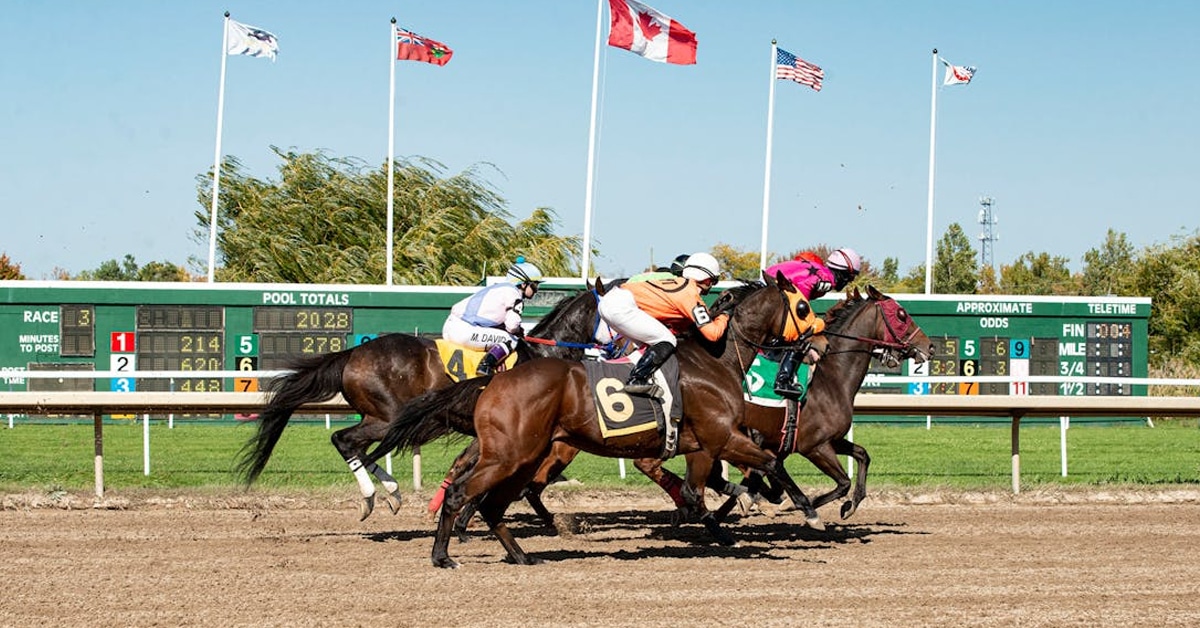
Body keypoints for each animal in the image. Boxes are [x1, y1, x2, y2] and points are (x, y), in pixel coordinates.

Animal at [234, 279, 614, 521]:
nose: (614, 348)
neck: (542, 356)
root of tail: (353, 352)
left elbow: (468, 467)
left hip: (382, 418)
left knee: (355, 446)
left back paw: (390, 493)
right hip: (388, 417)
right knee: (345, 440)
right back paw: (374, 495)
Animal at [364, 275, 828, 568]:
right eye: (804, 306)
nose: (822, 342)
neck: (716, 358)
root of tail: (493, 380)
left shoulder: (702, 446)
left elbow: (702, 492)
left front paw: (740, 513)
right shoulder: (721, 436)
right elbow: (770, 463)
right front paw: (808, 511)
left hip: (524, 457)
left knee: (492, 501)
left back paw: (520, 555)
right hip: (510, 455)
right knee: (464, 492)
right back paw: (444, 554)